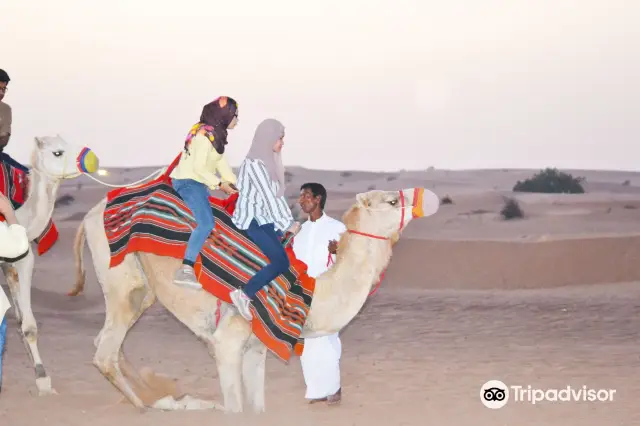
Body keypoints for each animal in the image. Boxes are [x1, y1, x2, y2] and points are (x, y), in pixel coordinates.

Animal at [68, 185, 439, 412]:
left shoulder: (256, 347)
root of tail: (91, 215)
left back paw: (158, 394)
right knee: (105, 352)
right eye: (391, 202)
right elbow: (235, 408)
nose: (426, 196)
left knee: (110, 343)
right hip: (121, 280)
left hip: (141, 289)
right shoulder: (228, 342)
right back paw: (151, 406)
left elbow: (257, 407)